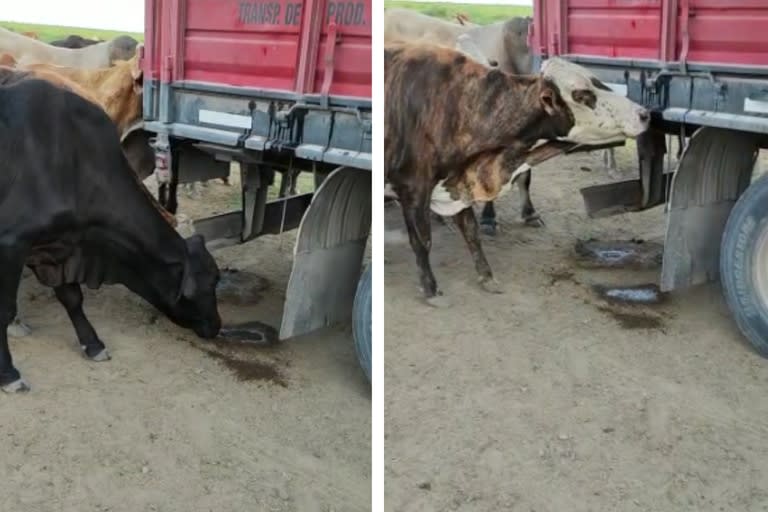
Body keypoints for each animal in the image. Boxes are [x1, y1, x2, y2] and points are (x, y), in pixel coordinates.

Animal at [0, 76, 222, 390]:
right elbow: (5, 311)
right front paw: (8, 373)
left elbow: (72, 298)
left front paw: (93, 344)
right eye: (210, 283)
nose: (217, 326)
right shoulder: (11, 244)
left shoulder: (58, 248)